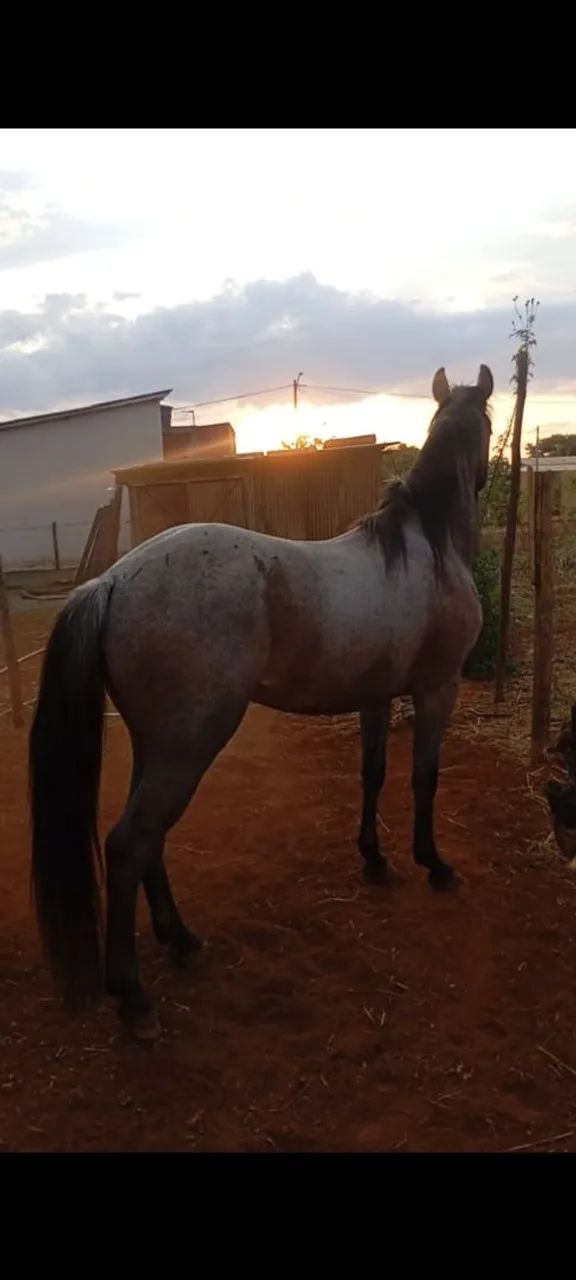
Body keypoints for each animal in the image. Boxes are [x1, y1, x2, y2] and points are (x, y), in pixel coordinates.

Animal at [29, 363, 493, 1041]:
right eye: (488, 423)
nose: (487, 475)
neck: (425, 550)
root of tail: (111, 580)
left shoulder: (376, 698)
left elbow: (374, 774)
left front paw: (375, 861)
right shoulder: (437, 691)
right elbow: (424, 779)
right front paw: (434, 865)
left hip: (160, 745)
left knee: (148, 839)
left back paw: (180, 939)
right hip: (190, 744)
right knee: (129, 843)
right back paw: (134, 996)